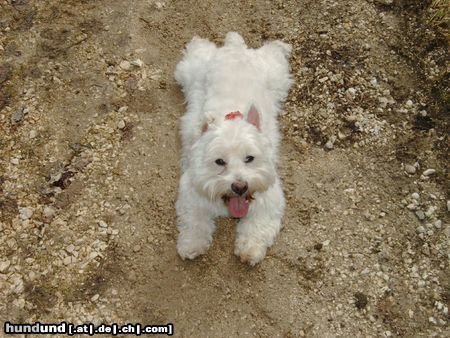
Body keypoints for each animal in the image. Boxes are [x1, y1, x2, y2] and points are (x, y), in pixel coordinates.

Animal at [172, 31, 292, 266]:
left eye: (250, 158)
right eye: (219, 161)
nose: (240, 186)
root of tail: (233, 46)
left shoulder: (269, 197)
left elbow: (258, 227)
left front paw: (250, 250)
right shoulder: (191, 192)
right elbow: (194, 222)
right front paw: (191, 245)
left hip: (274, 71)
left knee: (274, 51)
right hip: (192, 69)